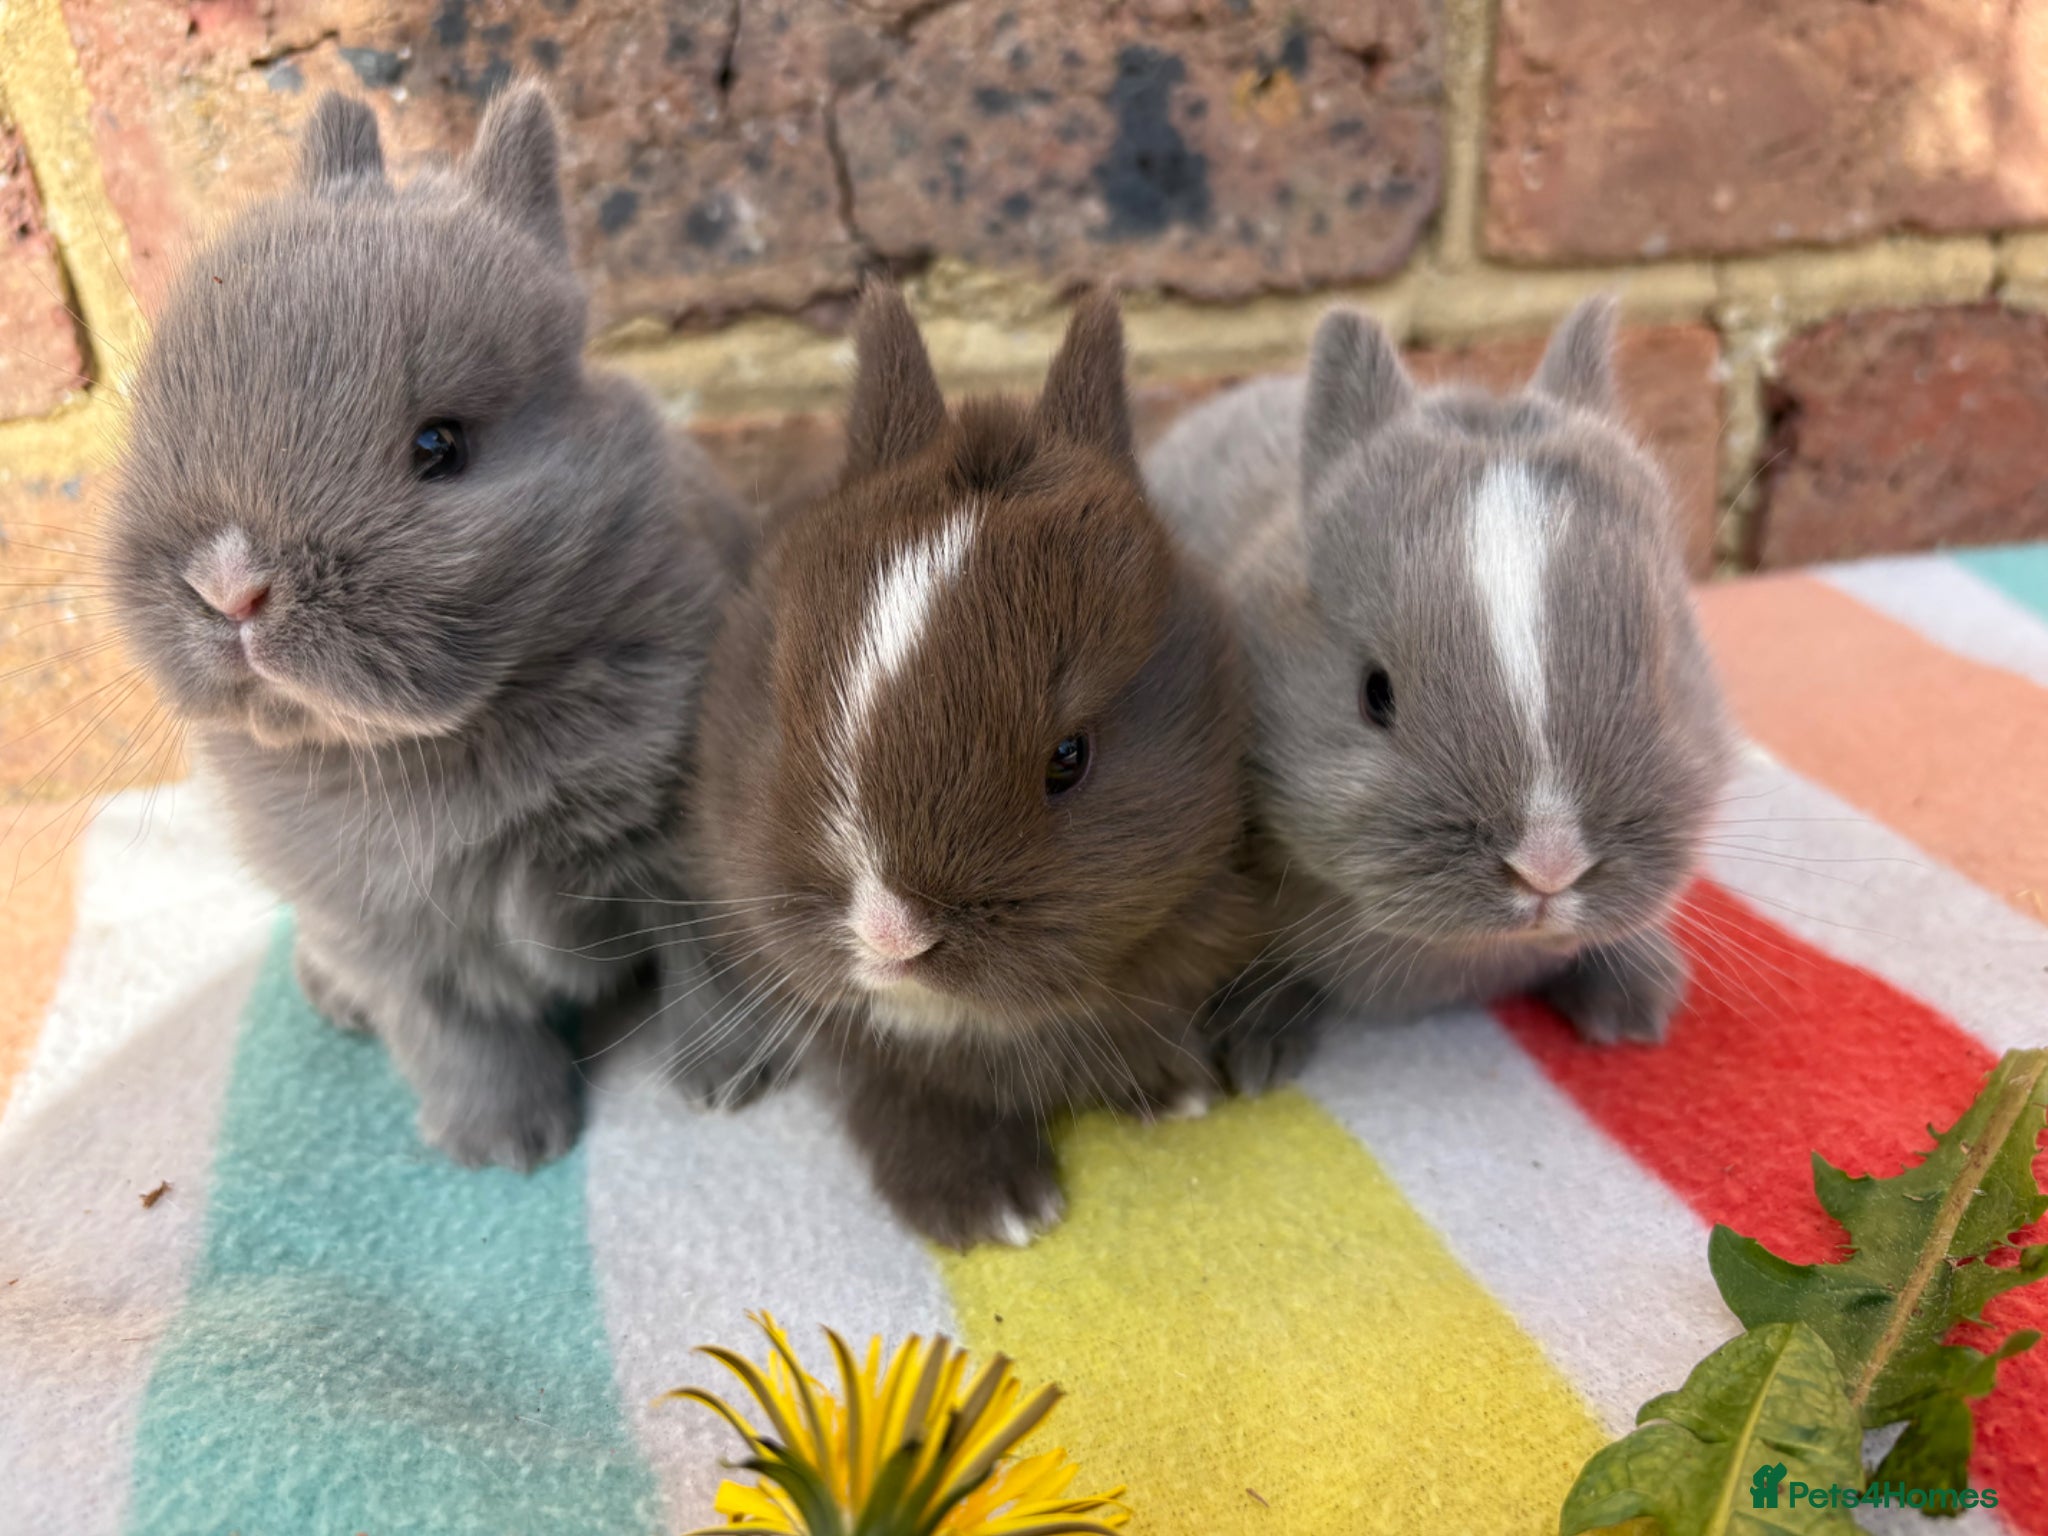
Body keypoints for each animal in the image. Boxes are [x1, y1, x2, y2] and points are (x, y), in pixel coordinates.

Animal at [106, 85, 750, 1169]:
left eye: (439, 446)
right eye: (160, 417)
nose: (229, 586)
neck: (434, 743)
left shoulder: (687, 851)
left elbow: (712, 965)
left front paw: (728, 1085)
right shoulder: (391, 938)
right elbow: (458, 1035)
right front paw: (507, 1147)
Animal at [686, 285, 1263, 1248]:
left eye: (1070, 757)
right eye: (781, 708)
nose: (891, 936)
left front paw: (1173, 1088)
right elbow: (902, 1093)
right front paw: (994, 1210)